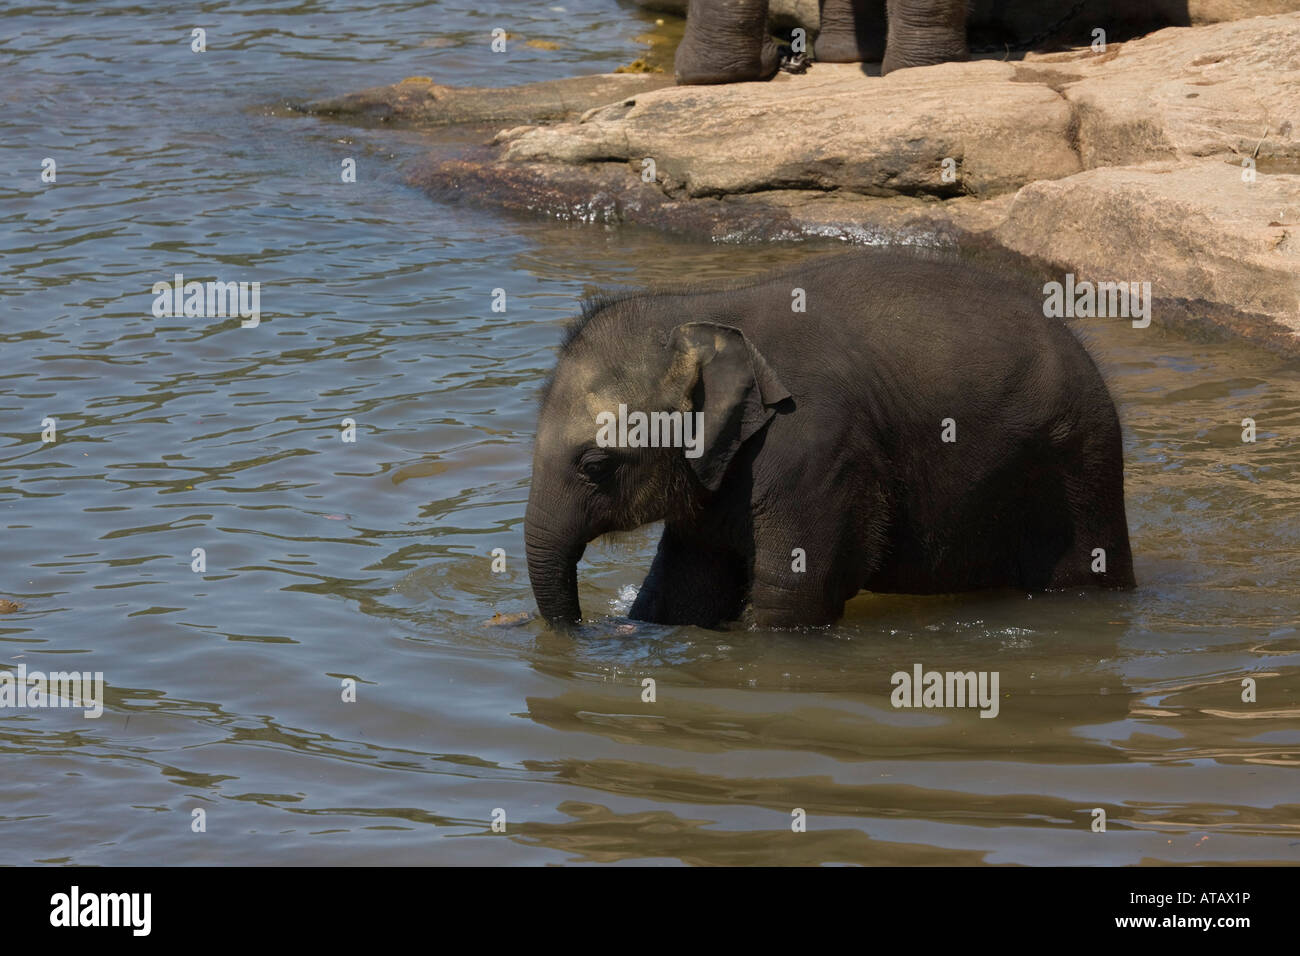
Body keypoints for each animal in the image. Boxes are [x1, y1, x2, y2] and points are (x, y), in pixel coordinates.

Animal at [524, 249, 1136, 629]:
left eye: (596, 465)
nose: (583, 632)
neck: (706, 308)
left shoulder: (815, 447)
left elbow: (794, 597)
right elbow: (682, 590)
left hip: (1078, 464)